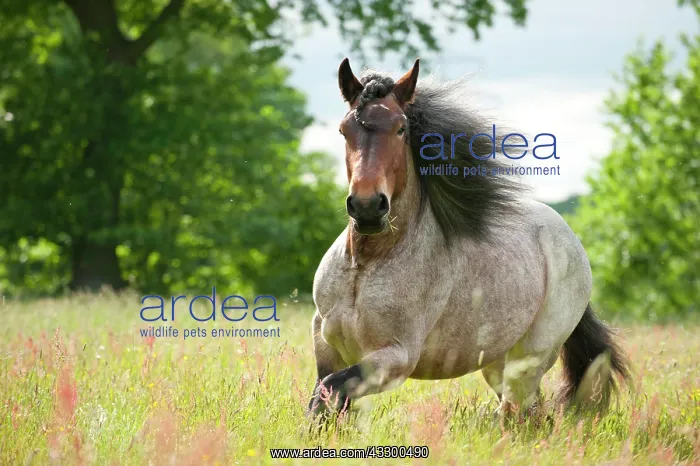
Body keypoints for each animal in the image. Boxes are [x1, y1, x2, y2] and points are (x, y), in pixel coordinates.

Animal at [308, 58, 630, 419]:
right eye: (344, 129)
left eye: (401, 128)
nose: (366, 207)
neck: (366, 265)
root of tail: (570, 240)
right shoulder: (326, 345)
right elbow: (326, 398)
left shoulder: (395, 359)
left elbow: (329, 393)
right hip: (496, 362)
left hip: (530, 360)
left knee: (518, 411)